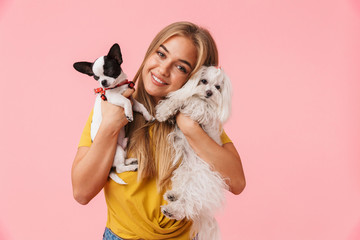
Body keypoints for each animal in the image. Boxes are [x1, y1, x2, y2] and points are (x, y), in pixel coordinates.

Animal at [74, 44, 154, 185]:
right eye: (96, 77)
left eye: (109, 71)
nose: (102, 82)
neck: (118, 87)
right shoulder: (114, 98)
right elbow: (125, 101)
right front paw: (129, 114)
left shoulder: (133, 101)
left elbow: (141, 106)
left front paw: (148, 116)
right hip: (117, 151)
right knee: (120, 168)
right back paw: (132, 167)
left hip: (122, 148)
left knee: (122, 162)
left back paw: (131, 160)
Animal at [156, 65, 232, 240]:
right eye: (203, 81)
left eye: (218, 87)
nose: (209, 92)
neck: (204, 100)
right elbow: (181, 98)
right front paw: (165, 111)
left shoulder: (201, 111)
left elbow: (189, 100)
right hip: (184, 173)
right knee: (183, 192)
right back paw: (173, 195)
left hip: (199, 183)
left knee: (188, 204)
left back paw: (172, 210)